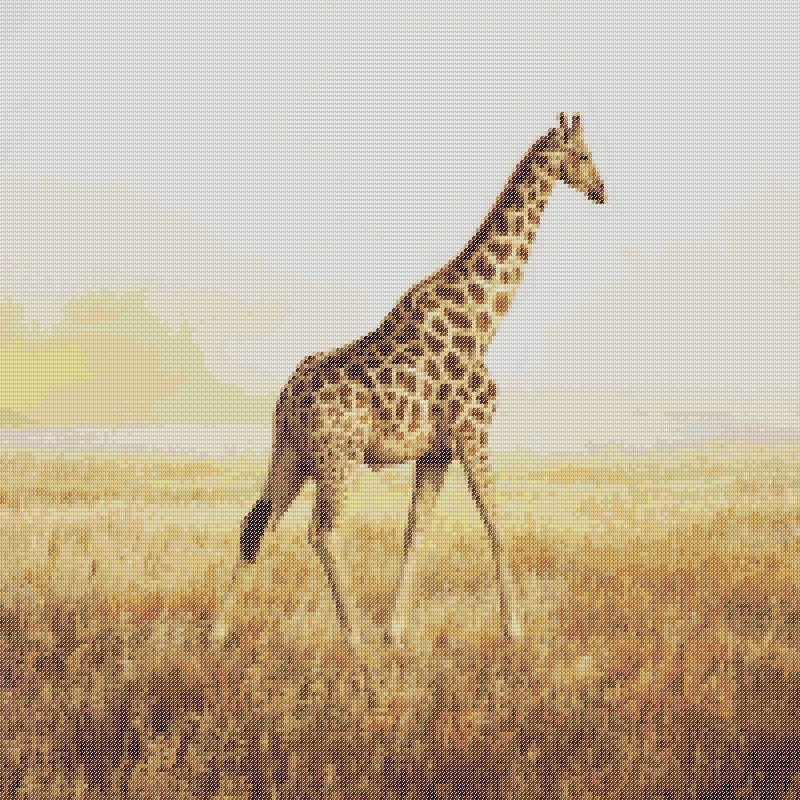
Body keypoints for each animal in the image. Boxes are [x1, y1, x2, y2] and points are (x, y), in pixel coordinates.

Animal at [212, 113, 605, 646]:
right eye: (584, 154)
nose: (602, 190)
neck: (483, 323)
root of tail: (287, 398)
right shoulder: (473, 432)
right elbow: (495, 520)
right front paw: (514, 628)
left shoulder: (436, 450)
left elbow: (415, 527)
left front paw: (395, 630)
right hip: (338, 456)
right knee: (321, 529)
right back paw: (352, 635)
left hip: (291, 453)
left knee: (258, 521)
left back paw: (218, 630)